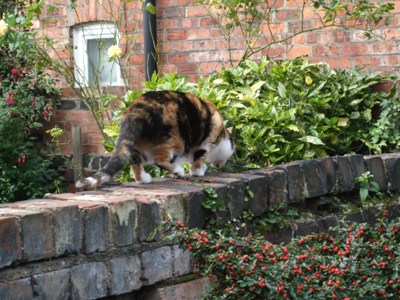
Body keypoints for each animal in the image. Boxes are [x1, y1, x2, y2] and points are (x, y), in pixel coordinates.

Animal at [76, 90, 234, 189]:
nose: (224, 164)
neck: (222, 134)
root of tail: (136, 110)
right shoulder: (206, 143)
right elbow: (199, 158)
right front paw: (198, 171)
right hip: (175, 140)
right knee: (161, 160)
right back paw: (178, 170)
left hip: (137, 146)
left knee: (135, 164)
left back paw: (144, 179)